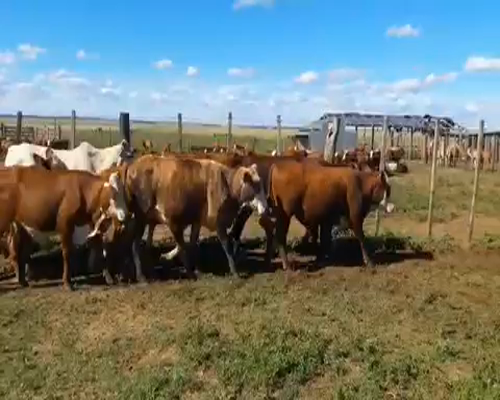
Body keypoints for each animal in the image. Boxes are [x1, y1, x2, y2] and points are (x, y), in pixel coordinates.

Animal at [0, 164, 129, 290]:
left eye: (123, 193)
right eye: (113, 194)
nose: (125, 215)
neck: (82, 190)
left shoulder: (90, 223)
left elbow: (99, 248)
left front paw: (109, 278)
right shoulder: (65, 223)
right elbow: (67, 253)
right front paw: (67, 282)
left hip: (17, 224)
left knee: (15, 251)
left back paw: (23, 282)